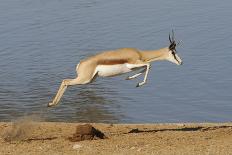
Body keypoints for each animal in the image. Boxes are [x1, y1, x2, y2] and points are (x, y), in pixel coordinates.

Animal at [48, 31, 183, 106]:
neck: (140, 53)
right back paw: (52, 103)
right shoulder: (133, 64)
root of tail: (80, 63)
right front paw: (139, 83)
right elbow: (149, 65)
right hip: (85, 79)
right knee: (65, 81)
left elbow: (146, 67)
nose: (181, 62)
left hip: (90, 80)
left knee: (66, 83)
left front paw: (130, 79)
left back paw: (52, 104)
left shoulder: (136, 66)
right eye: (173, 52)